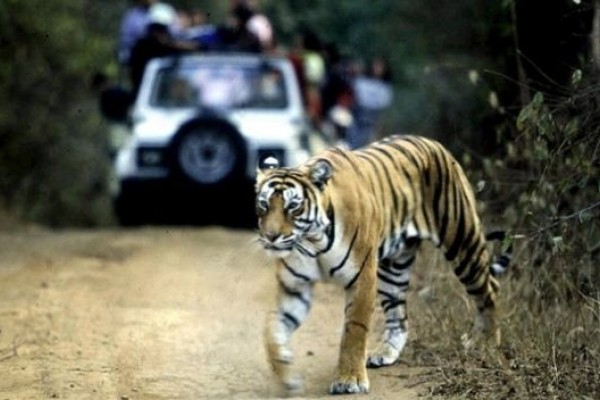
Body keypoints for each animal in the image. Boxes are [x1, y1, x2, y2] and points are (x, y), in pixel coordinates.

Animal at [253, 134, 510, 394]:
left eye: (293, 206)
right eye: (264, 205)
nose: (271, 237)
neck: (313, 242)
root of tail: (432, 142)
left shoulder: (361, 278)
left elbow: (354, 330)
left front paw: (349, 380)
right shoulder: (295, 289)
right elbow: (272, 329)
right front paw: (288, 376)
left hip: (462, 242)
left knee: (490, 288)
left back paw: (487, 343)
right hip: (393, 268)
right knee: (399, 317)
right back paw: (385, 353)